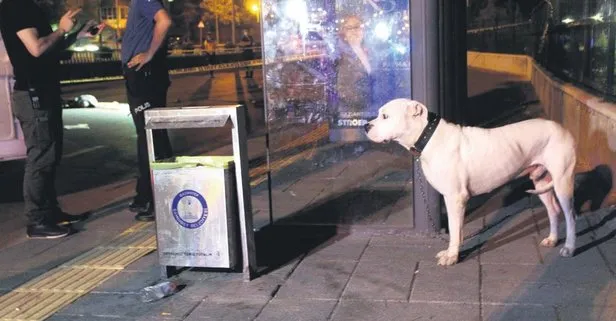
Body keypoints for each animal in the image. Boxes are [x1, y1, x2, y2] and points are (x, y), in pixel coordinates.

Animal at [366, 98, 576, 264]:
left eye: (385, 116)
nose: (366, 126)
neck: (428, 137)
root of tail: (563, 129)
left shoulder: (455, 198)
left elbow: (453, 229)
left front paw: (452, 257)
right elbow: (457, 231)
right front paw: (454, 252)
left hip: (563, 183)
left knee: (570, 216)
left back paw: (569, 248)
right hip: (542, 182)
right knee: (553, 210)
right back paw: (552, 239)